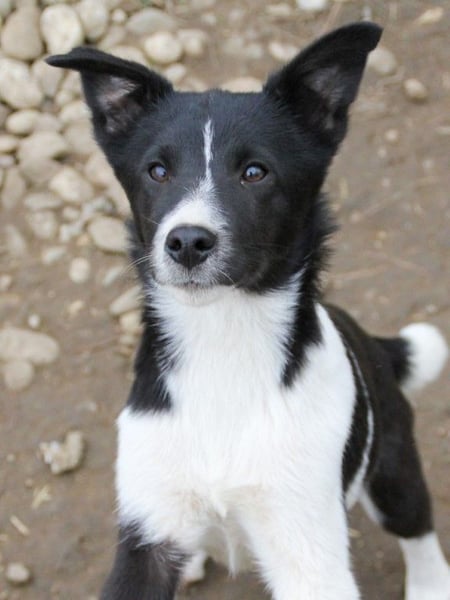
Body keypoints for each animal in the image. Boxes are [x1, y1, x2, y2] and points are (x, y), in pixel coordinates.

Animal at [47, 23, 450, 599]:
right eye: (157, 171)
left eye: (255, 172)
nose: (187, 242)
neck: (223, 339)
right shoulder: (147, 535)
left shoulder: (309, 556)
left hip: (393, 464)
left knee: (416, 525)